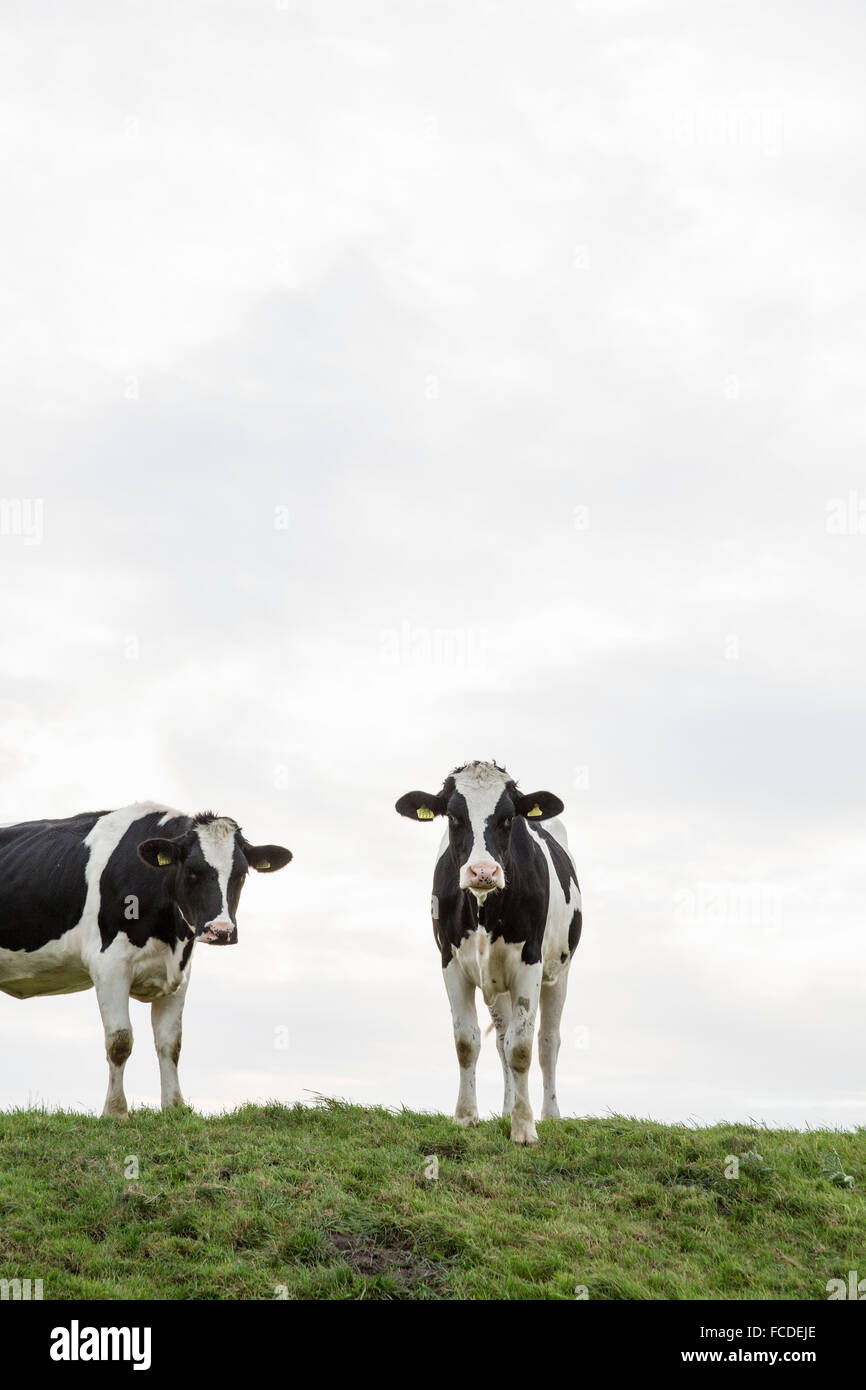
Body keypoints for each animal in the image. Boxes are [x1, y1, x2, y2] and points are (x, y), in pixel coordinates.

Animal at [0, 802, 292, 1116]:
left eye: (241, 874)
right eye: (192, 871)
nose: (221, 931)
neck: (169, 935)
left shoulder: (180, 972)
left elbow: (170, 1042)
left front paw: (174, 1107)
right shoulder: (109, 965)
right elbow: (119, 1041)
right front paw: (115, 1111)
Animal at [396, 761, 582, 1144]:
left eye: (508, 818)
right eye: (453, 817)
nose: (483, 871)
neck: (484, 908)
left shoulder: (530, 962)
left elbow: (523, 1048)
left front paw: (524, 1127)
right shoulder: (450, 963)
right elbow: (467, 1042)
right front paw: (466, 1117)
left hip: (559, 972)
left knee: (547, 1042)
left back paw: (550, 1114)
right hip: (497, 983)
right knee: (501, 1039)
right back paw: (508, 1106)